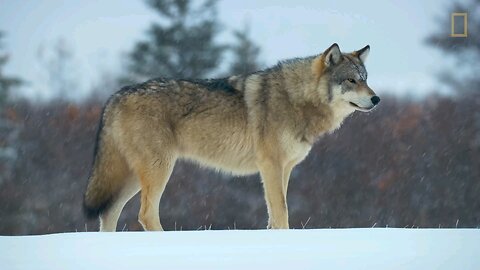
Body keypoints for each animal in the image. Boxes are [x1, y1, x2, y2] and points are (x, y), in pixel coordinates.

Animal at [84, 43, 380, 231]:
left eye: (365, 78)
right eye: (351, 81)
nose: (376, 99)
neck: (297, 98)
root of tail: (116, 95)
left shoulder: (285, 169)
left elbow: (275, 214)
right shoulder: (270, 166)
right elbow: (281, 211)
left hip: (135, 177)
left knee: (109, 212)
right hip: (158, 170)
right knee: (145, 215)